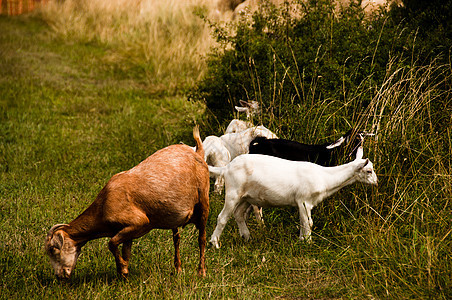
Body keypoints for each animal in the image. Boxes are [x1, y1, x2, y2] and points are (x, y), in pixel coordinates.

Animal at [44, 126, 210, 278]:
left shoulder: (139, 222)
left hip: (203, 201)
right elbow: (125, 251)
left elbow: (111, 243)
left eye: (53, 249)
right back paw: (178, 269)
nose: (59, 275)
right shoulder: (128, 230)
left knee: (201, 238)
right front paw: (123, 274)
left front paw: (122, 268)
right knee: (177, 238)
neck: (103, 206)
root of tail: (197, 152)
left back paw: (201, 272)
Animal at [208, 146, 378, 248]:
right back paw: (215, 243)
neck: (324, 177)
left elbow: (303, 222)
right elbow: (308, 223)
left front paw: (302, 240)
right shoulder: (304, 200)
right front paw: (308, 243)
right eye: (369, 171)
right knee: (222, 217)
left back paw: (247, 237)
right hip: (233, 192)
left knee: (238, 214)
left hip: (247, 196)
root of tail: (226, 168)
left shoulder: (303, 203)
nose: (376, 182)